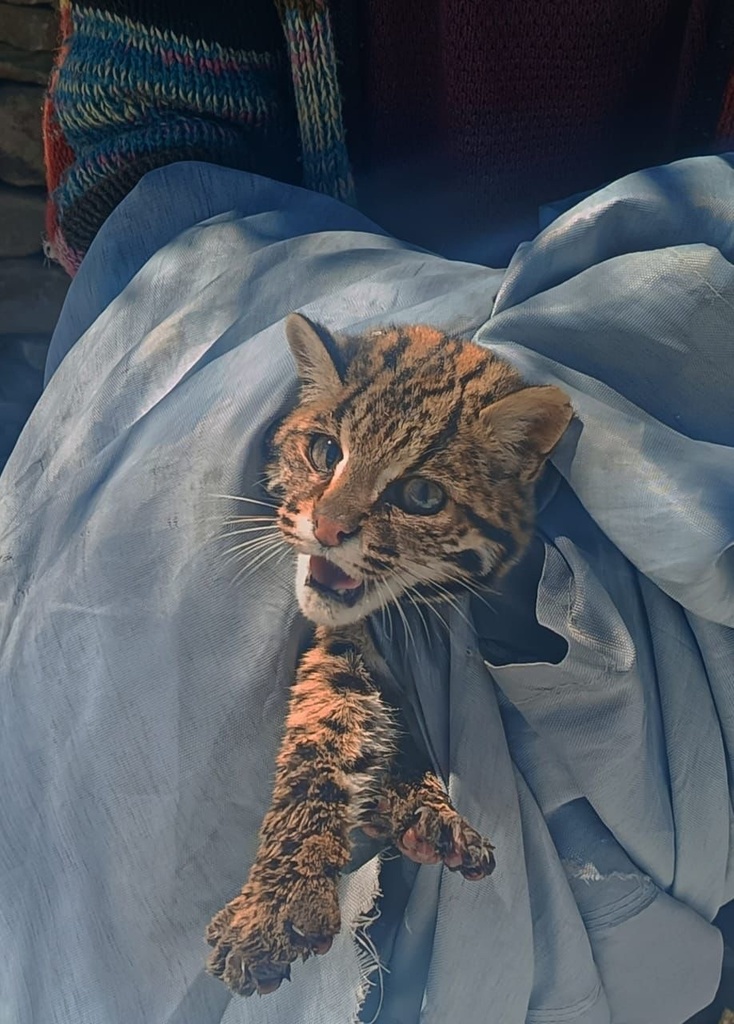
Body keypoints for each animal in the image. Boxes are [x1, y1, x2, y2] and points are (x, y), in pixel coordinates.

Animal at [204, 313, 573, 999]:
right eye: (325, 452)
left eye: (422, 495)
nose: (326, 529)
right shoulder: (341, 641)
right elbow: (320, 736)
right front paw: (275, 900)